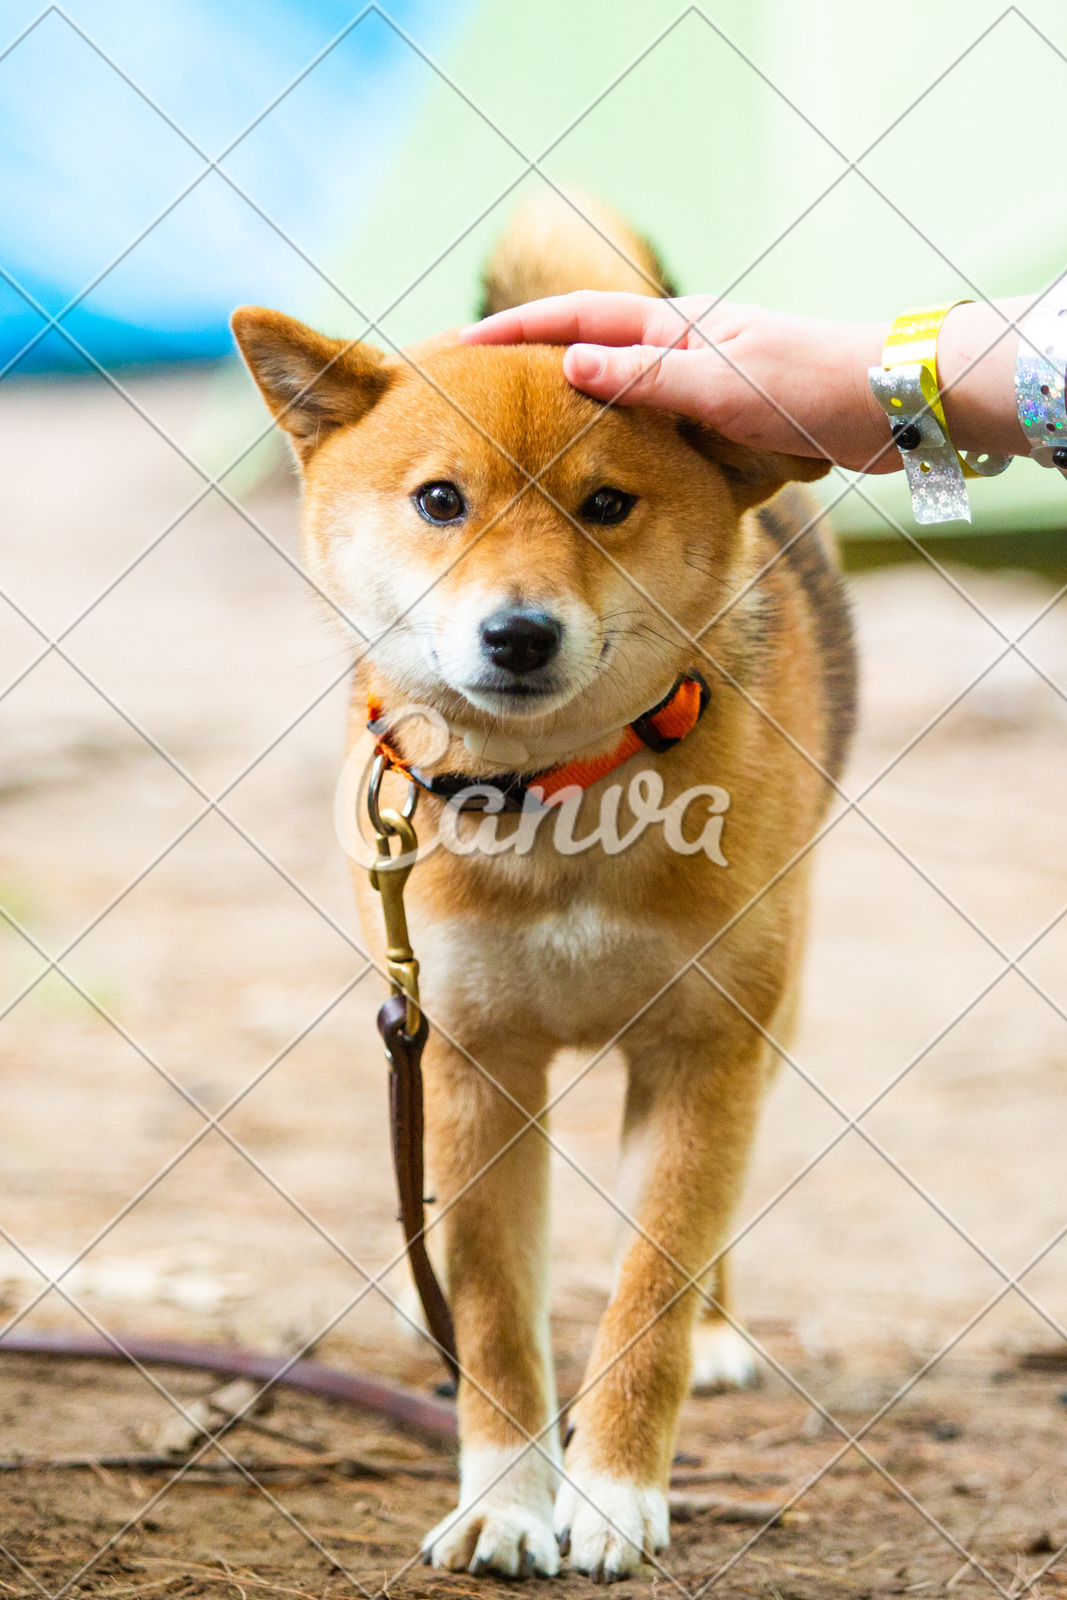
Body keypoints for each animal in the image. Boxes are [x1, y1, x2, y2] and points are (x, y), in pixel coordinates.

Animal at [233, 193, 857, 1580]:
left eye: (607, 503)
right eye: (439, 499)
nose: (516, 635)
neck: (559, 796)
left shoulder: (700, 1051)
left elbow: (647, 1295)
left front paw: (613, 1491)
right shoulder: (469, 1062)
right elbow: (497, 1321)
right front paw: (507, 1501)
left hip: (768, 1010)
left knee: (693, 1249)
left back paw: (719, 1331)